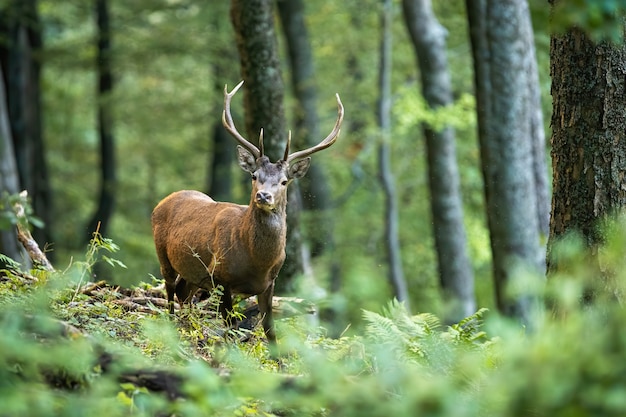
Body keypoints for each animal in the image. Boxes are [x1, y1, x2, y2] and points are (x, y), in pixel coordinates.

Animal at [152, 81, 344, 342]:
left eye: (284, 181)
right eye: (254, 176)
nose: (263, 196)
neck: (256, 261)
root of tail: (164, 200)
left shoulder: (269, 283)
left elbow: (270, 332)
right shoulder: (220, 277)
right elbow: (230, 329)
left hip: (194, 273)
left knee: (184, 293)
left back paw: (191, 329)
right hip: (163, 254)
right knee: (170, 292)